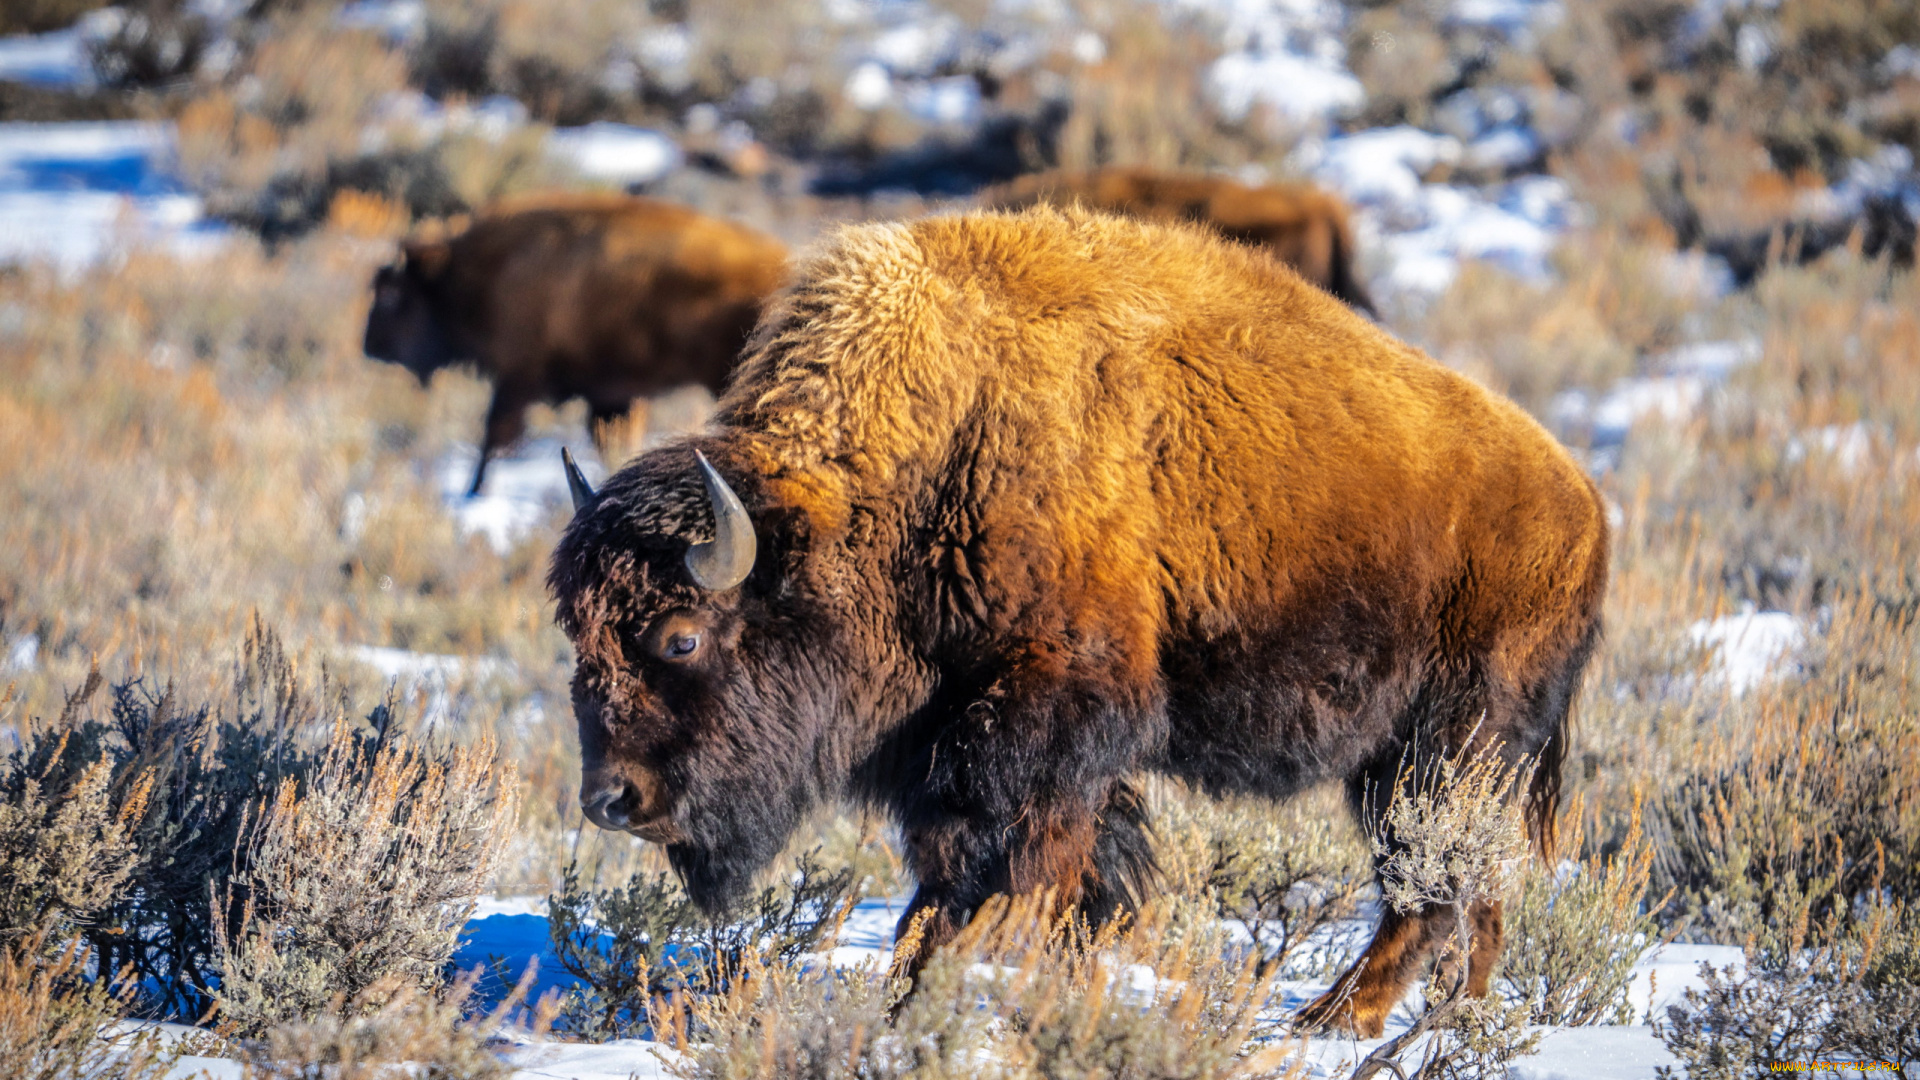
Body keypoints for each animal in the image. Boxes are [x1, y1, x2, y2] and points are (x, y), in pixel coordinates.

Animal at [363, 193, 788, 495]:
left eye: (392, 294)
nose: (369, 345)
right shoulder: (610, 395)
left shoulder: (518, 374)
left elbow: (494, 435)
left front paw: (473, 492)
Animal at [548, 206, 1608, 1036]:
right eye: (579, 640)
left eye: (682, 635)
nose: (611, 799)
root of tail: (1582, 500)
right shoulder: (961, 740)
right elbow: (1056, 869)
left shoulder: (1040, 718)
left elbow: (999, 867)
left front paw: (944, 985)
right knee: (1473, 892)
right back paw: (1451, 1014)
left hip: (1447, 743)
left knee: (1428, 882)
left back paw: (1334, 1018)